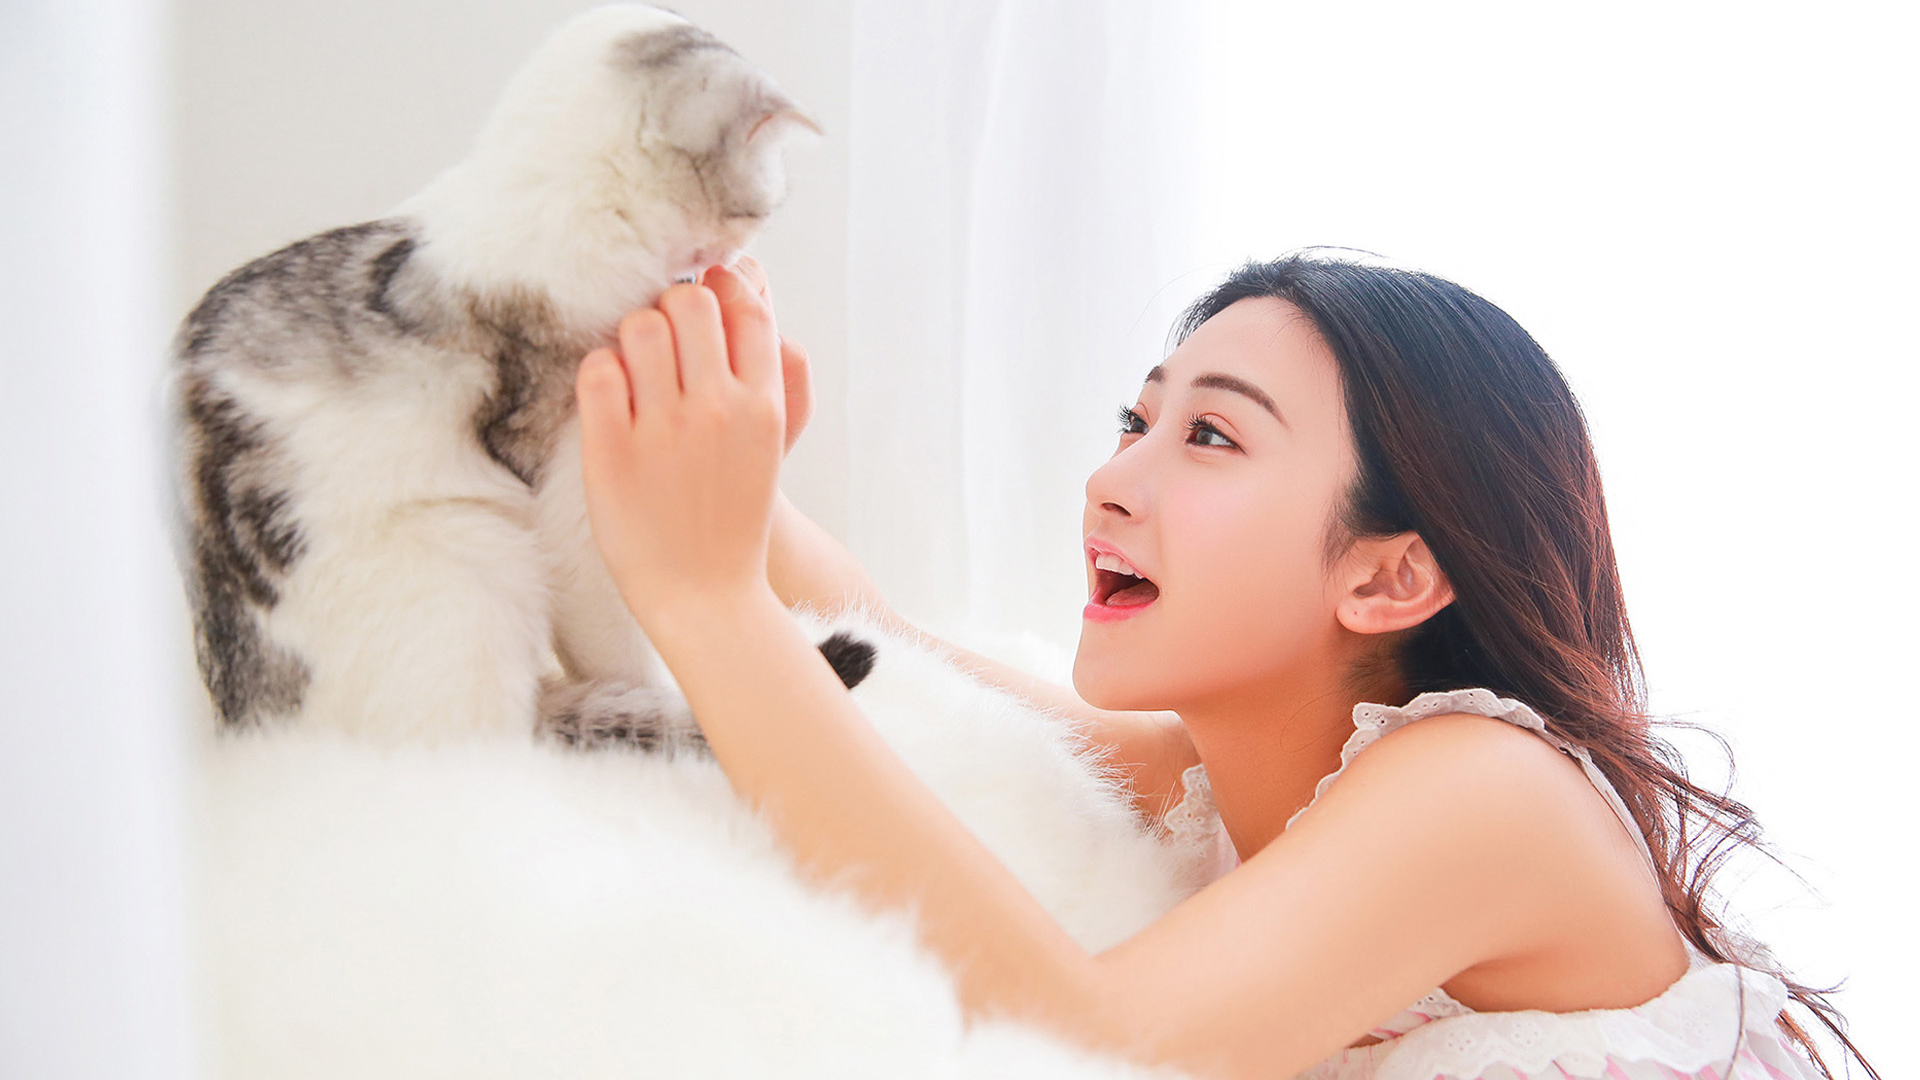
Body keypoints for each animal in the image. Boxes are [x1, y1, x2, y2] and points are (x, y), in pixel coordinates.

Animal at [169, 4, 851, 750]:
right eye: (765, 202)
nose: (736, 252)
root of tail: (252, 728)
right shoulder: (571, 496)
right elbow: (622, 641)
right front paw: (669, 696)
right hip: (471, 551)